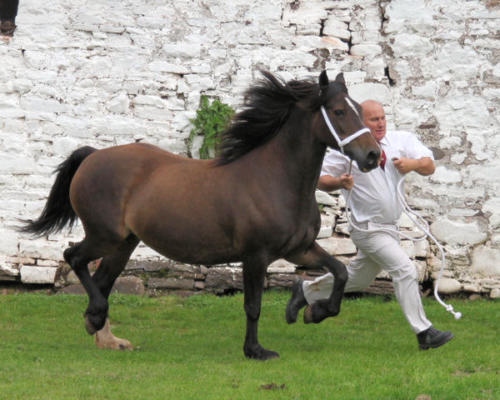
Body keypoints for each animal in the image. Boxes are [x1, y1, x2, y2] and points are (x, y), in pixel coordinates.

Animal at [19, 70, 378, 360]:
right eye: (339, 111)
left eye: (360, 109)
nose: (373, 155)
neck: (274, 180)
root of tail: (93, 156)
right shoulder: (256, 255)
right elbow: (253, 305)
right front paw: (256, 350)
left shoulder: (298, 250)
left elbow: (340, 272)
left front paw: (313, 313)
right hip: (104, 236)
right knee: (74, 258)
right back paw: (95, 318)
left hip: (124, 243)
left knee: (103, 279)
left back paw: (106, 336)